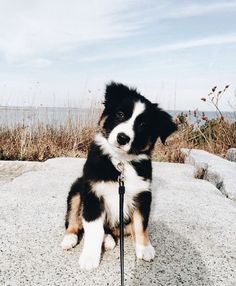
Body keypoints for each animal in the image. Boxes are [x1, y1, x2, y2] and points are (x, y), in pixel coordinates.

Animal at [61, 81, 177, 270]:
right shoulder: (93, 193)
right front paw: (89, 257)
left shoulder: (142, 194)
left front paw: (144, 247)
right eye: (120, 114)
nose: (123, 138)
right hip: (77, 188)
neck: (121, 162)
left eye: (143, 125)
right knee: (74, 217)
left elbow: (141, 224)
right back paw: (70, 238)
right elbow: (93, 228)